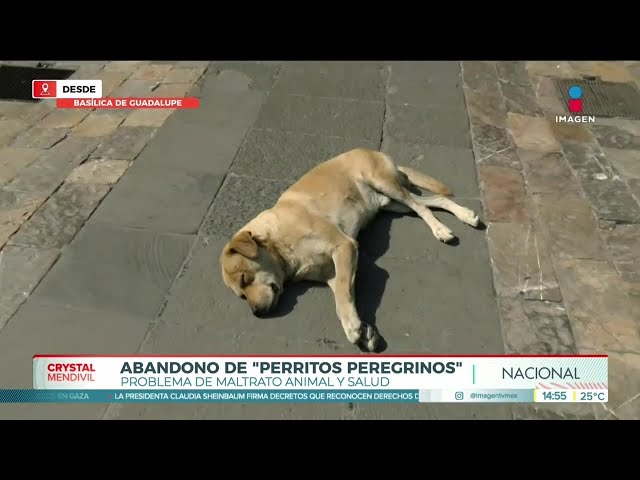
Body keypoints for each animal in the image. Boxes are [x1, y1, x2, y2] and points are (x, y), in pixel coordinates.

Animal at [220, 149, 480, 352]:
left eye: (244, 278)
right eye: (241, 295)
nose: (256, 313)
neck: (281, 242)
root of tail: (372, 150)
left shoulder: (345, 247)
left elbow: (344, 294)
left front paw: (355, 328)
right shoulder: (331, 273)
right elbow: (341, 298)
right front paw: (360, 328)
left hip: (386, 185)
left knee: (422, 207)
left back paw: (441, 229)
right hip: (391, 204)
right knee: (433, 201)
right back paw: (465, 215)